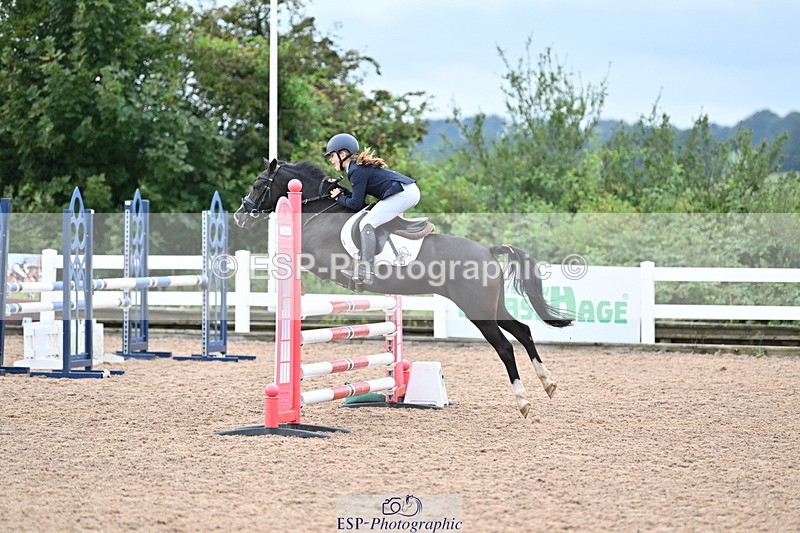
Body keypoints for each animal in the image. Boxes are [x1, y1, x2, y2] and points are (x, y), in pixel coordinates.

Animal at [234, 158, 573, 418]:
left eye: (257, 184)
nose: (240, 215)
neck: (319, 210)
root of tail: (488, 251)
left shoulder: (319, 259)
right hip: (492, 306)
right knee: (523, 331)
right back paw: (548, 383)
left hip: (478, 311)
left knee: (504, 347)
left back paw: (523, 401)